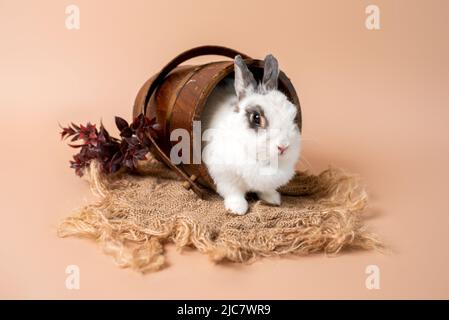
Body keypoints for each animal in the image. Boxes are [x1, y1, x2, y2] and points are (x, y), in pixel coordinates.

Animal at [200, 54, 300, 215]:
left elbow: (266, 189)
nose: (283, 147)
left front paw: (273, 199)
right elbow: (233, 191)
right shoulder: (223, 174)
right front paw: (237, 208)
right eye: (256, 118)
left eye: (293, 116)